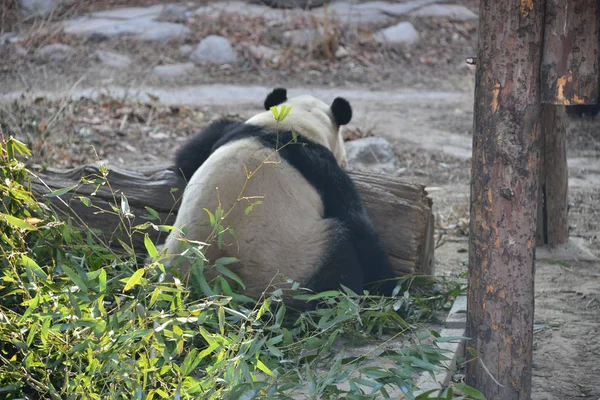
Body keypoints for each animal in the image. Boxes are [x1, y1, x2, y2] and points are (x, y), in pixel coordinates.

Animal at [162, 87, 398, 304]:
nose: (347, 162)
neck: (293, 123)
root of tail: (216, 281)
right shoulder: (320, 169)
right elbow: (356, 222)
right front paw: (386, 286)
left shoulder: (235, 132)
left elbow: (188, 157)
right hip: (294, 264)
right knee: (338, 264)